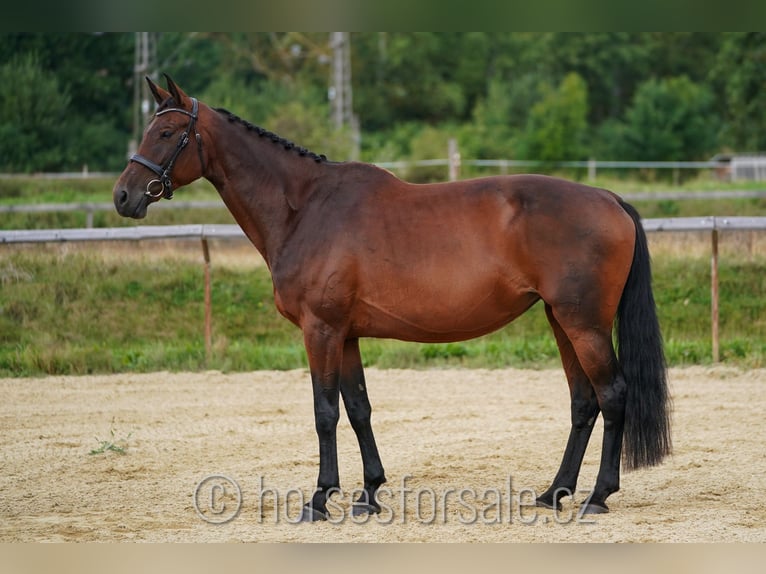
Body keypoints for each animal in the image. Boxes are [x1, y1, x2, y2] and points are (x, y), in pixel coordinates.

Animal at [112, 75, 672, 520]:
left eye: (166, 133)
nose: (123, 196)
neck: (305, 208)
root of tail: (610, 200)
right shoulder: (346, 335)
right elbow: (358, 408)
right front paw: (368, 495)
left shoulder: (320, 330)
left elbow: (324, 411)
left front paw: (320, 500)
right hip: (562, 321)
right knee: (583, 401)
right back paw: (555, 492)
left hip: (585, 324)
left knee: (612, 395)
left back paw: (597, 497)